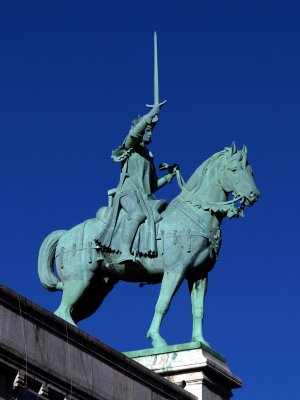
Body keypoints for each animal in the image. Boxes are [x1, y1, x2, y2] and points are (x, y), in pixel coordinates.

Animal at [38, 143, 258, 346]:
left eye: (251, 171)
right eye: (234, 169)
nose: (254, 195)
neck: (197, 213)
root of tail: (66, 234)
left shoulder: (199, 275)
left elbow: (198, 310)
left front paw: (200, 341)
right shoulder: (175, 270)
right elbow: (163, 303)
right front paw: (157, 339)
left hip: (96, 289)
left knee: (70, 311)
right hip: (80, 279)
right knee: (62, 312)